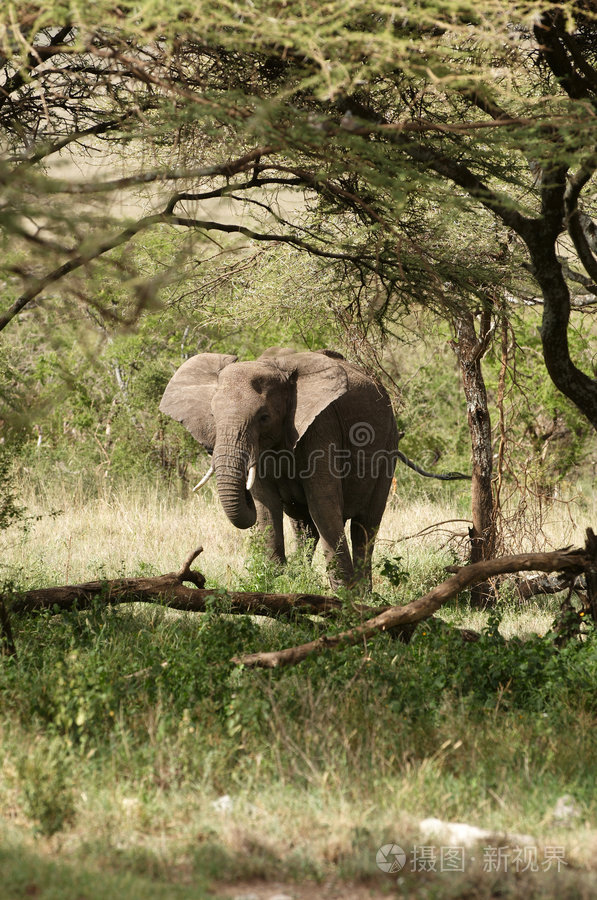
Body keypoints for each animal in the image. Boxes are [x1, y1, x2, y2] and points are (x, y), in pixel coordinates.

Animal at [161, 346, 398, 592]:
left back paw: (364, 594)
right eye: (213, 416)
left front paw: (345, 595)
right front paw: (275, 584)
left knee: (365, 526)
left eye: (264, 417)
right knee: (304, 527)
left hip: (389, 443)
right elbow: (267, 506)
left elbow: (323, 504)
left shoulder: (322, 426)